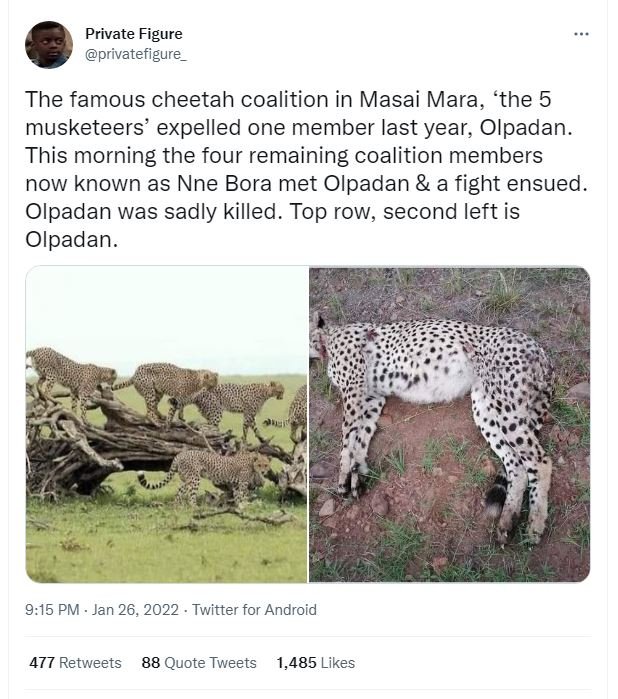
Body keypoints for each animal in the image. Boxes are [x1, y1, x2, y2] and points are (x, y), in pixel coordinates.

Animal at [136, 450, 271, 506]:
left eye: (266, 465)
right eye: (260, 465)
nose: (263, 471)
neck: (252, 462)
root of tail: (180, 454)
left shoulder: (237, 484)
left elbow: (238, 496)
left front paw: (239, 507)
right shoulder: (242, 483)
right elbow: (243, 495)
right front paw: (245, 505)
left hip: (187, 478)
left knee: (180, 490)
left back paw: (177, 506)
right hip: (194, 478)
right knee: (190, 495)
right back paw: (195, 508)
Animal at [310, 312, 555, 545]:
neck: (326, 337)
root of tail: (538, 347)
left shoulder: (354, 391)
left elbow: (347, 437)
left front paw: (344, 474)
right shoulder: (371, 398)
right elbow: (360, 437)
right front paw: (357, 473)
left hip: (506, 406)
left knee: (540, 462)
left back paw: (535, 525)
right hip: (485, 408)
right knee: (517, 467)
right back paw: (507, 521)